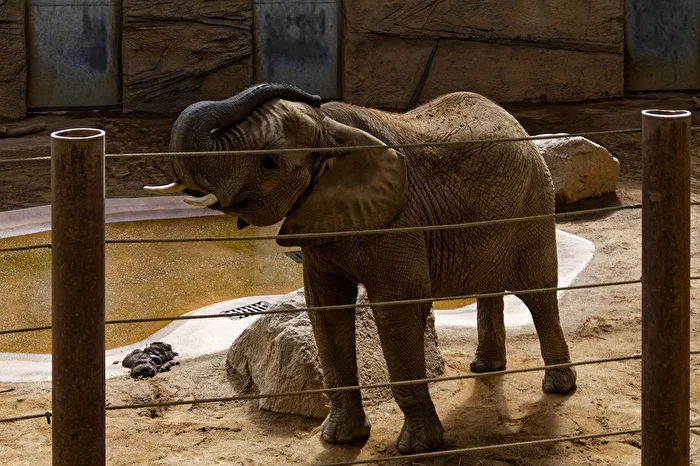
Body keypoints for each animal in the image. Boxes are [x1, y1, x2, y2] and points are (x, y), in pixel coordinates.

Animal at [144, 82, 577, 454]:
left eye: (268, 164)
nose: (313, 95)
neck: (333, 132)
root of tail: (514, 122)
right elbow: (326, 311)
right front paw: (339, 440)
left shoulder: (400, 222)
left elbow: (395, 311)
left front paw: (418, 447)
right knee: (491, 286)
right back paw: (485, 368)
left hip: (534, 202)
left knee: (538, 292)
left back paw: (558, 387)